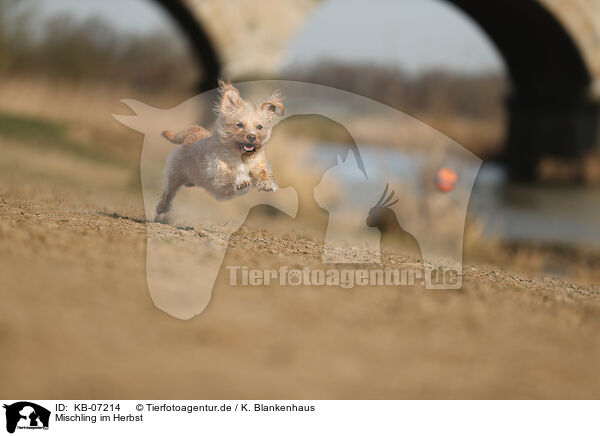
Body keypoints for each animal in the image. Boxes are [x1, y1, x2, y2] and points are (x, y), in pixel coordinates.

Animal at [156, 79, 284, 218]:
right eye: (239, 124)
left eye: (260, 126)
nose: (252, 136)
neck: (242, 156)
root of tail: (193, 133)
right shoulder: (218, 170)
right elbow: (231, 172)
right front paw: (242, 181)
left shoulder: (259, 165)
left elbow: (262, 173)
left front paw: (267, 184)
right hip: (176, 174)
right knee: (169, 191)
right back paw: (162, 207)